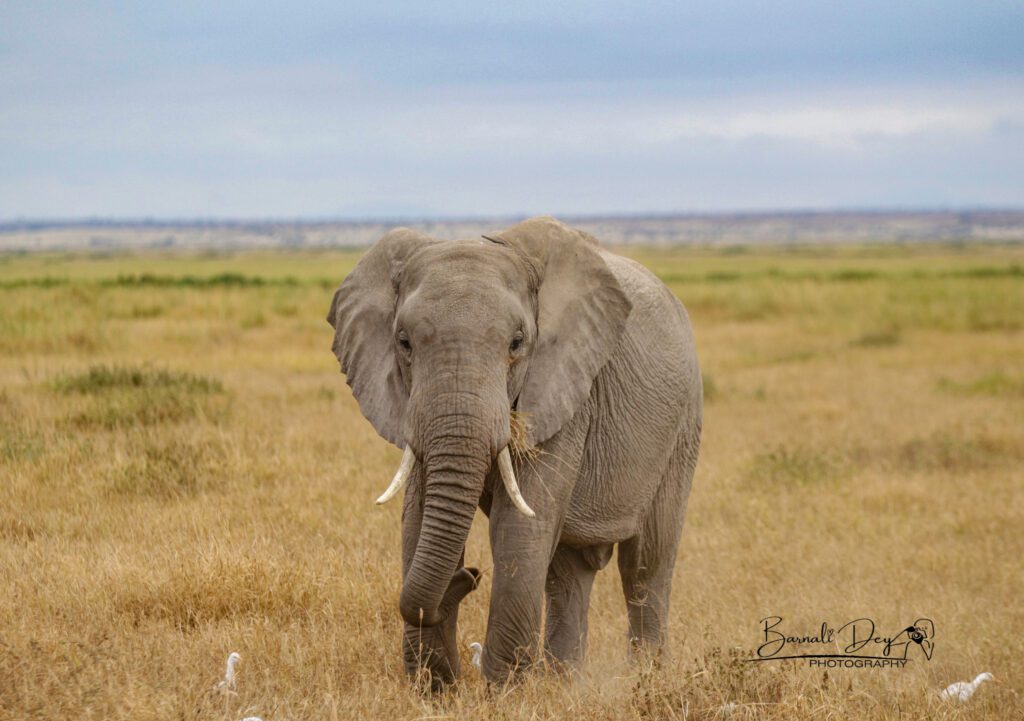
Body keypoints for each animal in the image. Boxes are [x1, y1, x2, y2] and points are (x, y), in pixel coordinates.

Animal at [327, 215, 704, 688]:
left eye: (517, 343)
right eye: (404, 342)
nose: (469, 575)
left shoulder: (564, 388)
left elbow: (519, 528)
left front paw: (503, 690)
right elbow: (416, 516)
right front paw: (433, 688)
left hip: (682, 426)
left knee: (645, 565)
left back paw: (644, 680)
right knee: (568, 573)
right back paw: (565, 685)